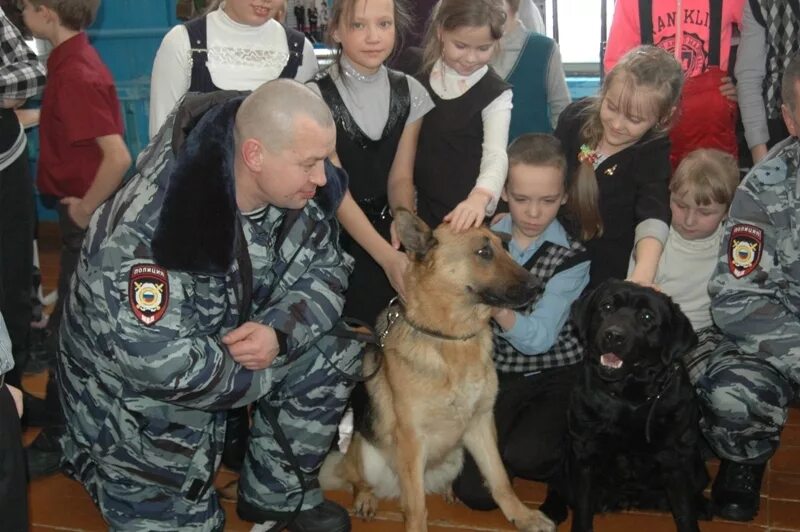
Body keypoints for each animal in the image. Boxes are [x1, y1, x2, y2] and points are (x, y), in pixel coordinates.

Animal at [324, 210, 556, 532]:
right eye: (483, 252)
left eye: (505, 247)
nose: (539, 286)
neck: (452, 339)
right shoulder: (412, 439)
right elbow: (416, 508)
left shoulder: (481, 423)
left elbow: (499, 479)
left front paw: (522, 516)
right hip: (368, 456)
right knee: (357, 479)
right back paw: (366, 497)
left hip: (457, 454)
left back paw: (446, 489)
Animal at [540, 280, 708, 528]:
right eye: (607, 307)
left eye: (647, 317)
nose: (613, 335)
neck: (630, 400)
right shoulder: (585, 454)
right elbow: (582, 510)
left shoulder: (676, 459)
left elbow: (685, 512)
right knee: (557, 486)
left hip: (695, 462)